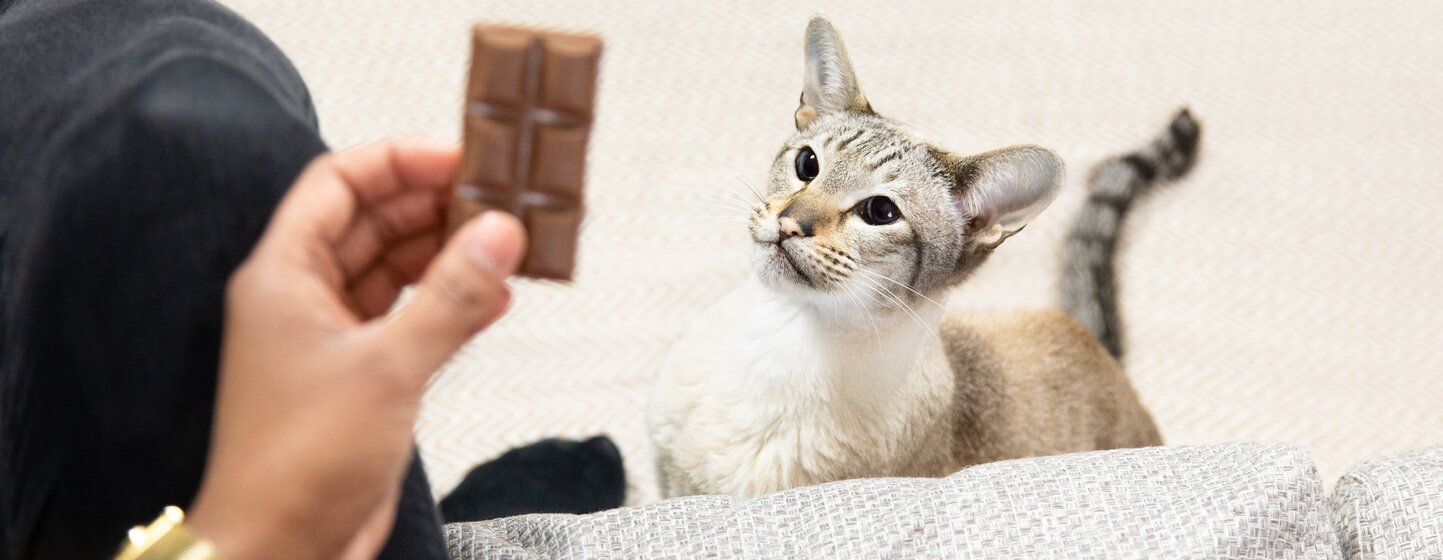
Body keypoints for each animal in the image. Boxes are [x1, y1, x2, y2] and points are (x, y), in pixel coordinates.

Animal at [646, 16, 1194, 499]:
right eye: (807, 164)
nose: (789, 224)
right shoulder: (671, 485)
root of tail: (1097, 348)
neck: (782, 336)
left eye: (879, 212)